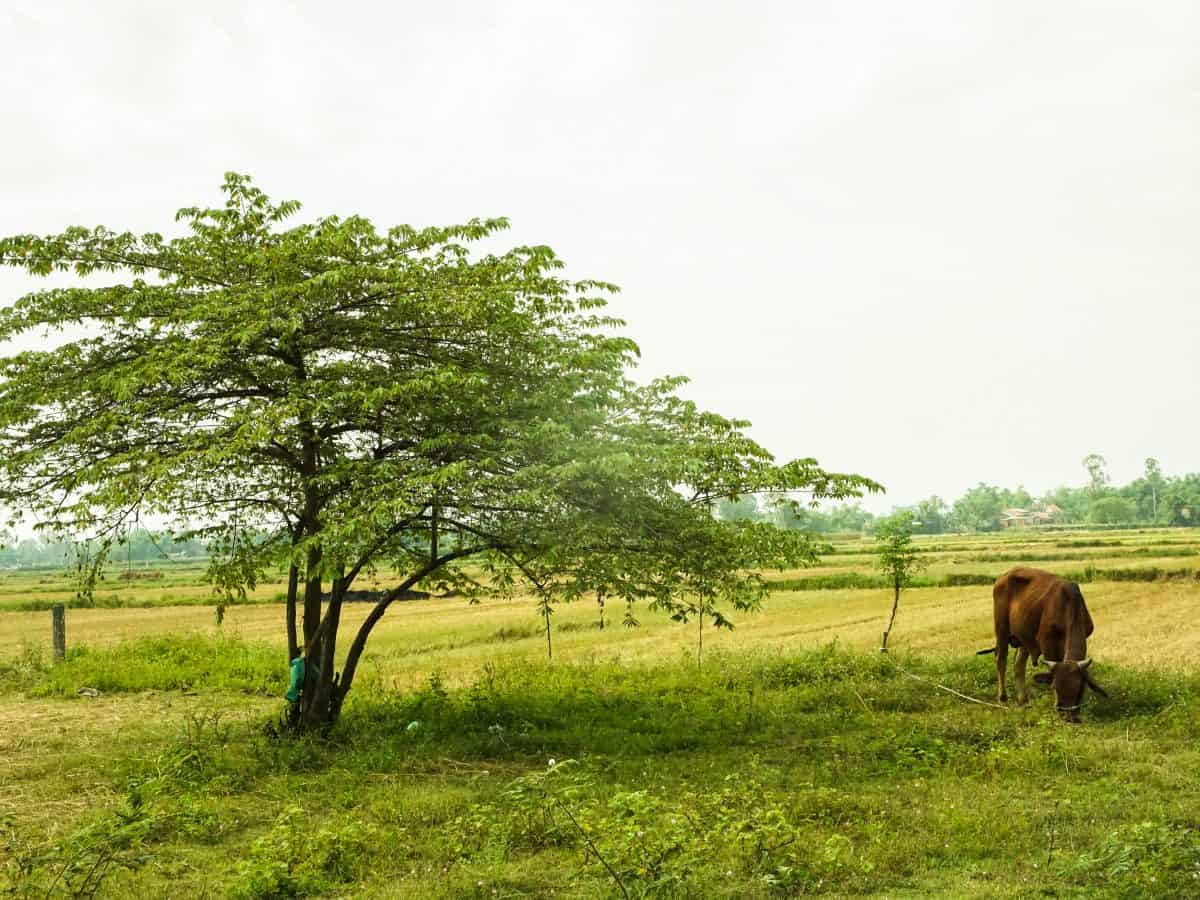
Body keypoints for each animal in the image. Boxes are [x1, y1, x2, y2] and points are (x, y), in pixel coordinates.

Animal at [979, 571, 1108, 724]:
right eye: (1055, 687)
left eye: (1080, 689)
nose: (1067, 716)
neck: (1068, 604)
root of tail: (1004, 576)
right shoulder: (1047, 643)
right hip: (1001, 629)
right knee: (1001, 660)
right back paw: (1003, 697)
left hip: (1024, 637)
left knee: (1018, 664)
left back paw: (1023, 699)